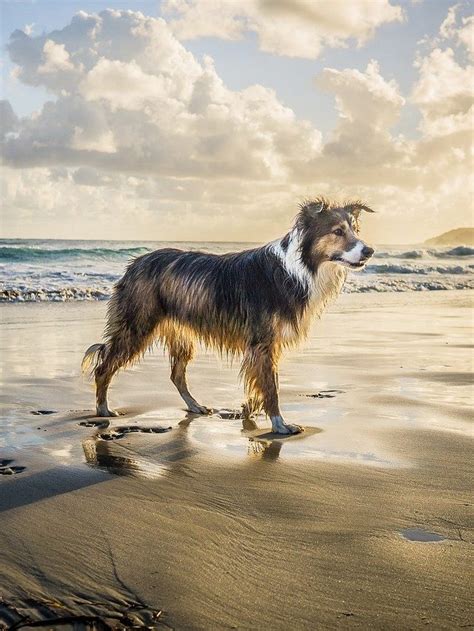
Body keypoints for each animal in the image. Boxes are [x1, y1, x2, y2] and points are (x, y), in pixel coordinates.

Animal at [82, 198, 374, 434]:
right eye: (337, 231)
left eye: (355, 230)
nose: (369, 251)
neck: (298, 268)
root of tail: (135, 263)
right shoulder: (263, 342)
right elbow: (271, 387)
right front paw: (279, 424)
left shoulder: (266, 346)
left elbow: (262, 383)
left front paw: (248, 410)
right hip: (137, 325)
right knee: (104, 366)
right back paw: (104, 409)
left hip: (180, 333)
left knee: (177, 375)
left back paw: (195, 406)